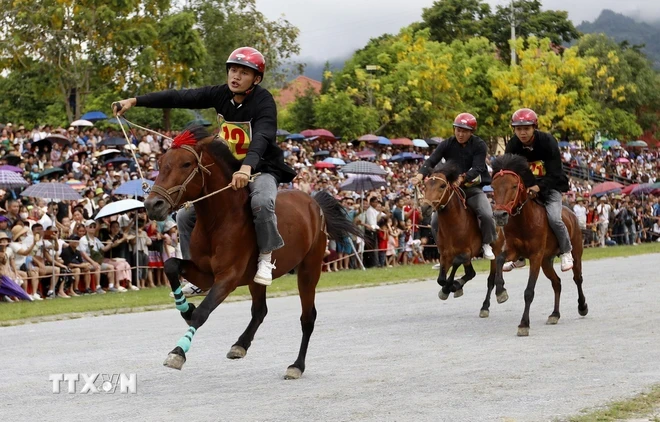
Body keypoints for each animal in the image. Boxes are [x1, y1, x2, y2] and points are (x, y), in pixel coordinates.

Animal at [144, 126, 360, 380]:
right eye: (160, 163)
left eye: (186, 164)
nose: (152, 205)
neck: (219, 219)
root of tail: (313, 202)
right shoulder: (205, 274)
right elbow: (171, 265)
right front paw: (186, 307)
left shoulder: (228, 277)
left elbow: (203, 312)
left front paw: (178, 351)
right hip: (256, 279)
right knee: (260, 310)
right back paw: (240, 344)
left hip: (310, 269)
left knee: (307, 318)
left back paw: (296, 365)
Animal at [420, 162, 508, 316]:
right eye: (425, 186)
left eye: (442, 186)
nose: (425, 208)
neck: (454, 224)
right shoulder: (445, 254)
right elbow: (441, 279)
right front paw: (449, 287)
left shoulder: (467, 252)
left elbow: (456, 263)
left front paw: (451, 286)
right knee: (471, 273)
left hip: (496, 252)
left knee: (491, 279)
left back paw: (490, 301)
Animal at [490, 154, 588, 336]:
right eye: (493, 186)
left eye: (514, 186)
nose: (499, 215)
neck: (524, 221)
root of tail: (571, 213)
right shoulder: (513, 250)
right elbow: (499, 259)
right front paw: (501, 291)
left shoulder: (535, 256)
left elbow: (529, 291)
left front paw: (523, 324)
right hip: (546, 261)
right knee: (557, 282)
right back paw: (555, 314)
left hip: (576, 253)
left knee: (577, 278)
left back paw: (582, 306)